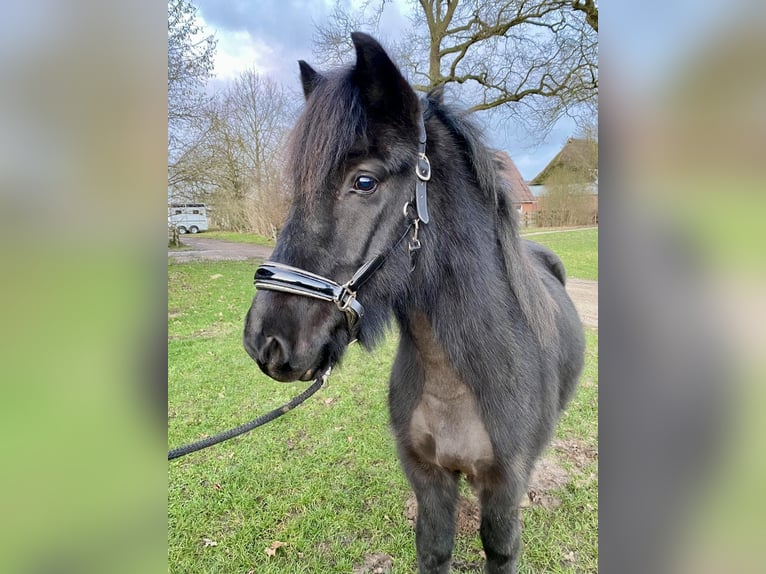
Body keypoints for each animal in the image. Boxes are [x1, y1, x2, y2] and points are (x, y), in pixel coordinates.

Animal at [246, 32, 588, 574]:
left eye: (364, 181)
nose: (268, 340)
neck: (461, 376)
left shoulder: (503, 490)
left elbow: (501, 547)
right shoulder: (427, 480)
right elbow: (434, 547)